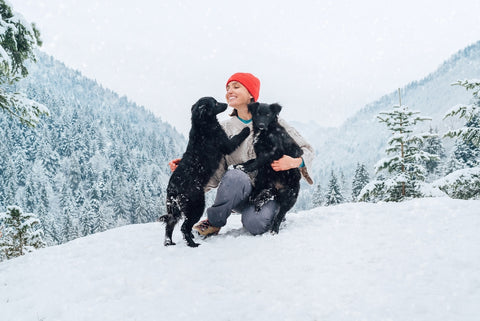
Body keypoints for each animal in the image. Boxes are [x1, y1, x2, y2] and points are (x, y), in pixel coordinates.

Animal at [158, 96, 249, 246]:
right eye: (216, 103)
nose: (226, 103)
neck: (202, 125)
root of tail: (173, 189)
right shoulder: (226, 144)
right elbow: (237, 137)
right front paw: (246, 129)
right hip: (196, 205)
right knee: (184, 227)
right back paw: (192, 244)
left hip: (174, 209)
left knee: (170, 224)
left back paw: (169, 243)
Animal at [242, 102, 302, 232]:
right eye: (258, 113)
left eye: (268, 114)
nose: (261, 125)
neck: (266, 132)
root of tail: (276, 188)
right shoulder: (259, 152)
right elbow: (252, 160)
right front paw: (241, 165)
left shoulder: (275, 151)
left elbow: (259, 161)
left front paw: (245, 168)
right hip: (264, 180)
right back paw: (255, 197)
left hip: (289, 198)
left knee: (280, 215)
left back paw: (274, 230)